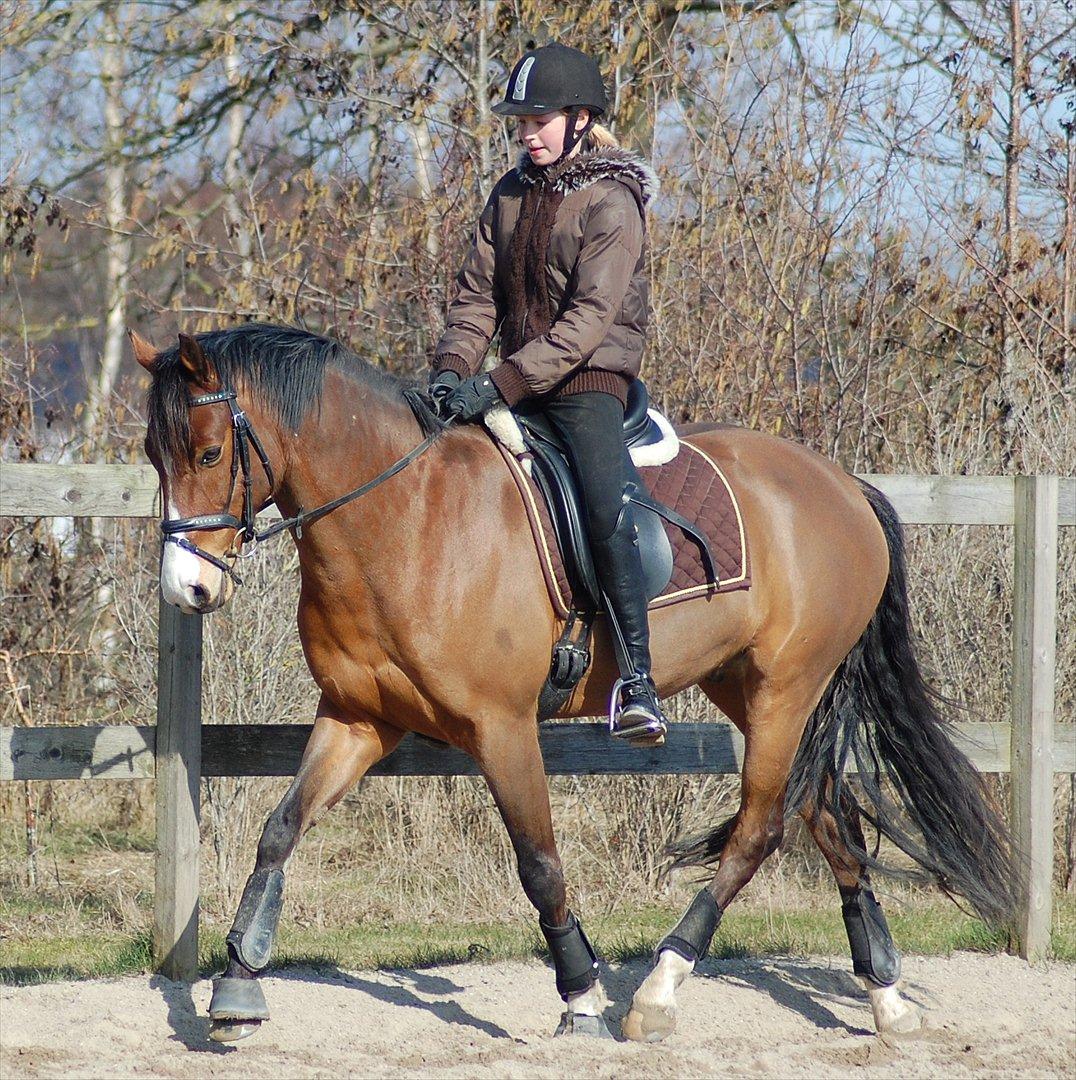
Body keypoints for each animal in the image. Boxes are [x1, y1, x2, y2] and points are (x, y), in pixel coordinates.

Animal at [132, 322, 1017, 1045]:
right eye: (152, 456)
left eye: (207, 454)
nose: (188, 590)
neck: (405, 518)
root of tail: (844, 487)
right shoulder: (357, 719)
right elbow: (280, 829)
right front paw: (237, 990)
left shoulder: (502, 727)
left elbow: (539, 863)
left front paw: (582, 996)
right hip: (748, 689)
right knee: (828, 815)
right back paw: (886, 997)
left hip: (786, 689)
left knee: (760, 830)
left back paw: (658, 991)